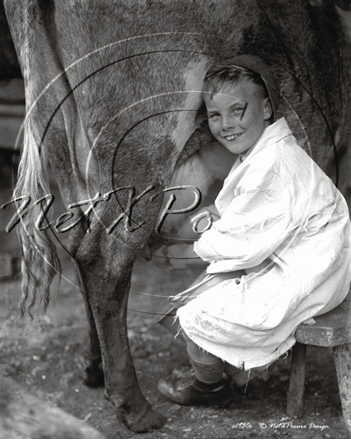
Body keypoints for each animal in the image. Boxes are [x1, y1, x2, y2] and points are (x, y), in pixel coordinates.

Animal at [4, 0, 351, 434]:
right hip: (143, 142)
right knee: (103, 260)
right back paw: (136, 407)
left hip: (62, 148)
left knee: (78, 246)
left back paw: (97, 369)